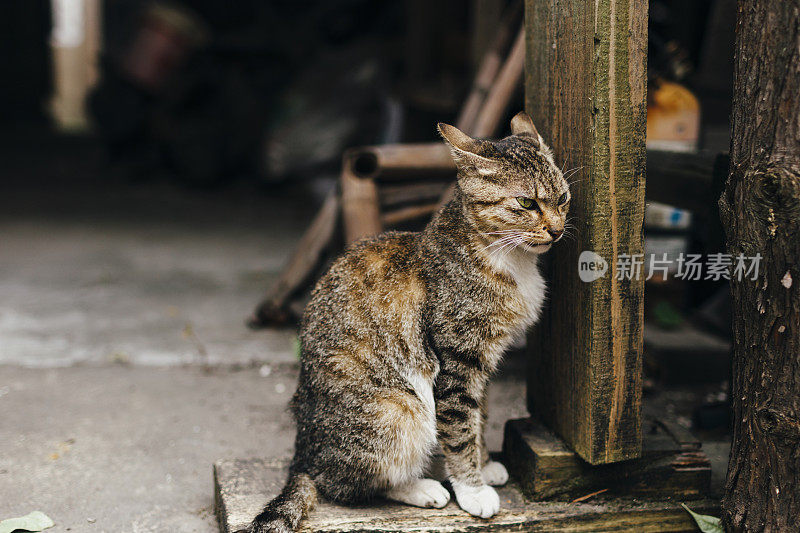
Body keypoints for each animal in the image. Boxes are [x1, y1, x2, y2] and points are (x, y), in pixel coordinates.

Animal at [250, 112, 568, 532]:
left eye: (563, 198)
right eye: (526, 202)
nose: (557, 229)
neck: (503, 255)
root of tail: (303, 456)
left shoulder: (484, 363)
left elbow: (479, 416)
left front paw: (485, 464)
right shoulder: (457, 361)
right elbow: (459, 428)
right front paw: (473, 489)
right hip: (400, 409)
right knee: (349, 485)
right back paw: (421, 488)